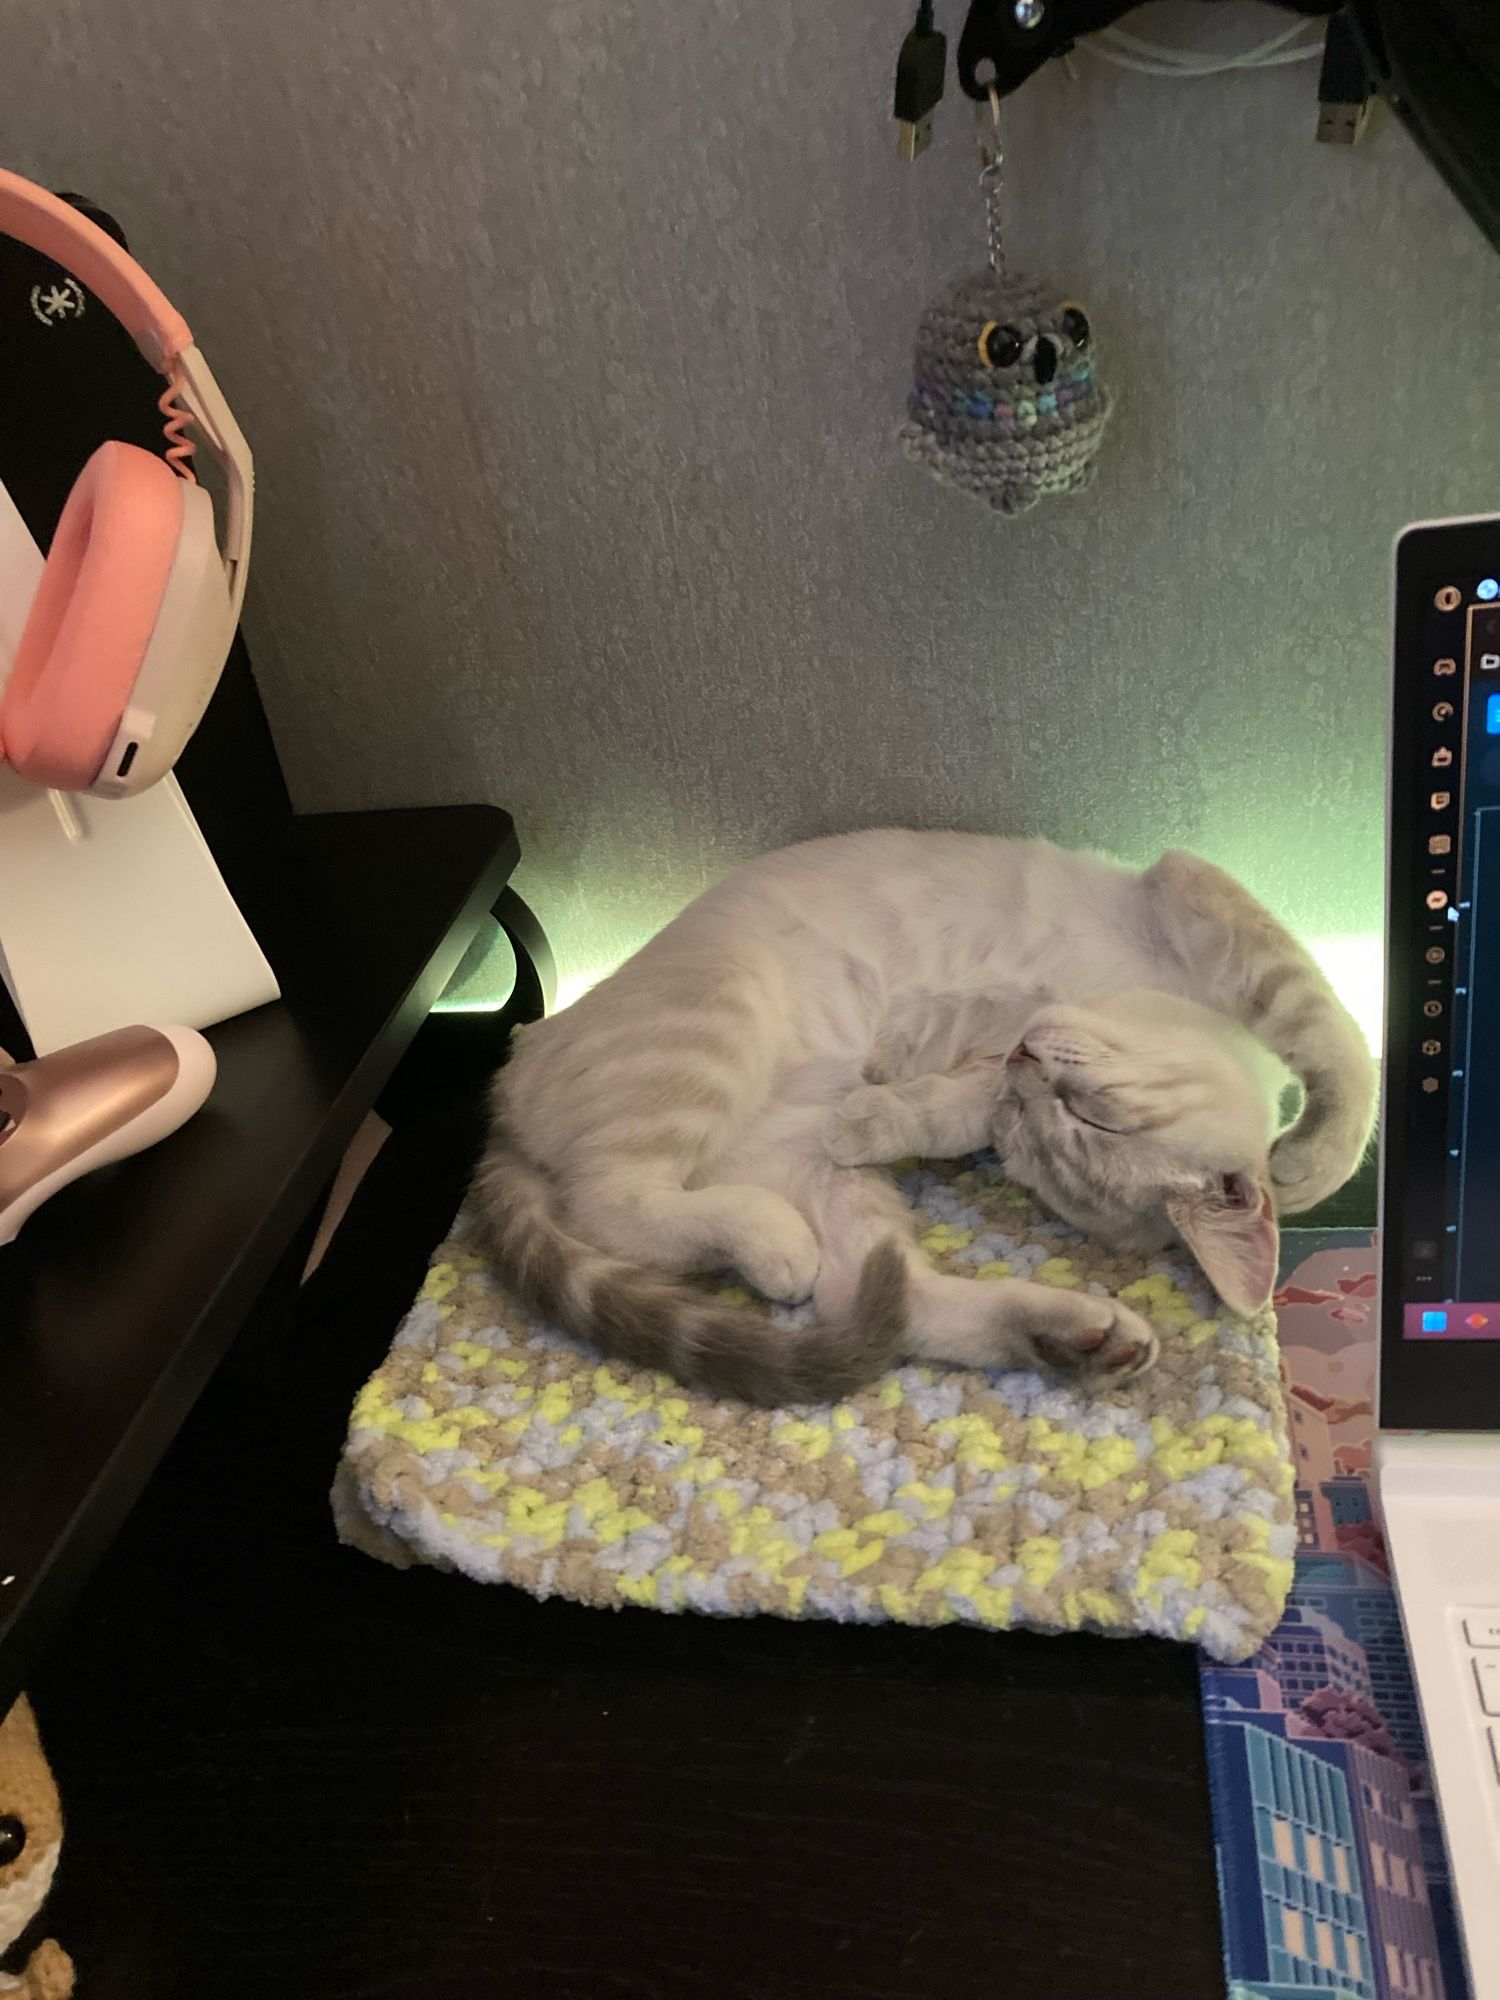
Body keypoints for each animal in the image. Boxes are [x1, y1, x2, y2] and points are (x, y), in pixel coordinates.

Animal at [478, 828, 1376, 1408]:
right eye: (1095, 1115)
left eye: (1069, 1125)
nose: (1031, 1062)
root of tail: (512, 1077)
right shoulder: (1196, 897)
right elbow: (1329, 1027)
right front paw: (1310, 1162)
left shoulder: (982, 1069)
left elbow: (942, 1111)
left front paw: (870, 1117)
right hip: (719, 1013)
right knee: (607, 1200)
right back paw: (772, 1239)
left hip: (814, 1175)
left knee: (878, 1299)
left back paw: (1080, 1340)